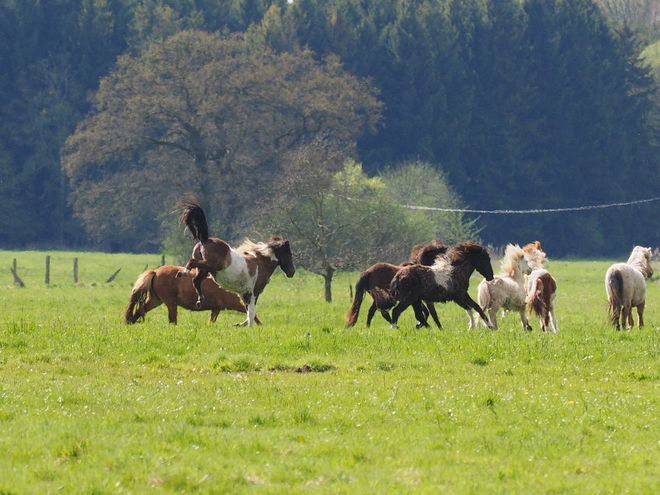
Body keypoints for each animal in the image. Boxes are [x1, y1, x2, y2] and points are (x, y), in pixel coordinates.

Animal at [125, 264, 256, 326]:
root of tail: (155, 272)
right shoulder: (233, 304)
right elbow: (253, 316)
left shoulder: (216, 308)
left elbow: (211, 321)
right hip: (170, 303)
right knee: (172, 320)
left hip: (156, 300)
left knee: (141, 310)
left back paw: (130, 322)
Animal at [175, 196, 294, 328]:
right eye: (290, 254)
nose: (292, 272)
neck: (261, 263)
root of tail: (205, 239)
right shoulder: (254, 292)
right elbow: (251, 312)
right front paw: (249, 326)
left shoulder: (244, 293)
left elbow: (248, 311)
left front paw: (239, 324)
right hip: (212, 265)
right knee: (192, 263)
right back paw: (182, 273)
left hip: (205, 270)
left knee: (196, 280)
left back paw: (200, 301)